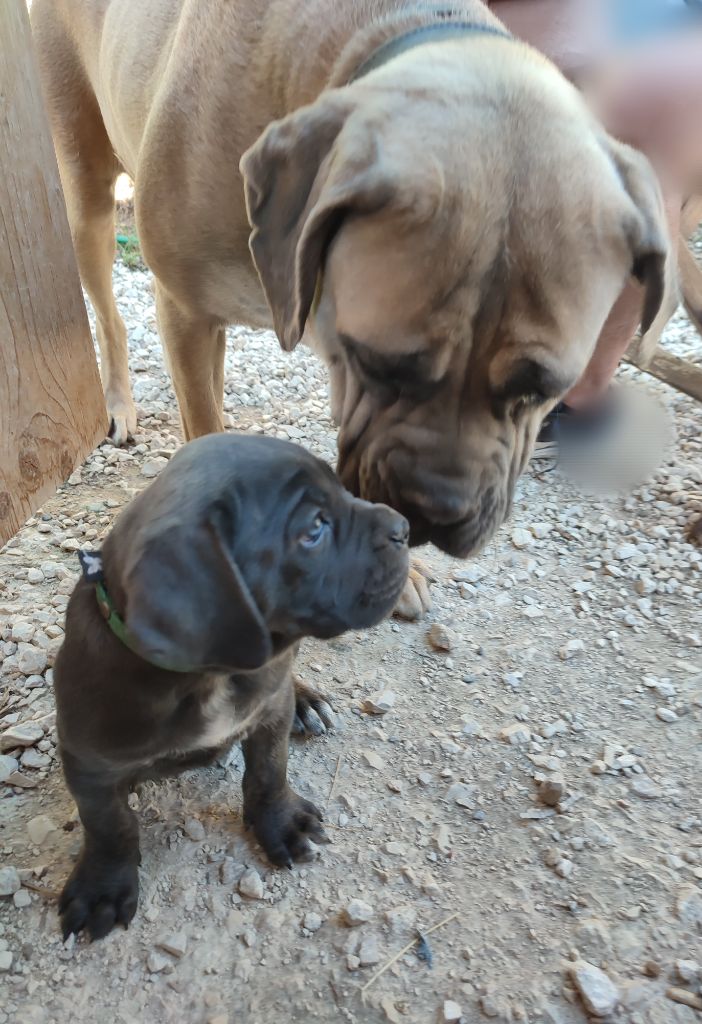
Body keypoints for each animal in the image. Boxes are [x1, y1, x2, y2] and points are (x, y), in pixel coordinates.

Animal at [55, 430, 409, 937]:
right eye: (314, 529)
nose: (404, 528)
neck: (208, 676)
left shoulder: (268, 710)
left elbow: (269, 773)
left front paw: (281, 824)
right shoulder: (90, 765)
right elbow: (109, 827)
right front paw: (102, 887)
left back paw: (307, 701)